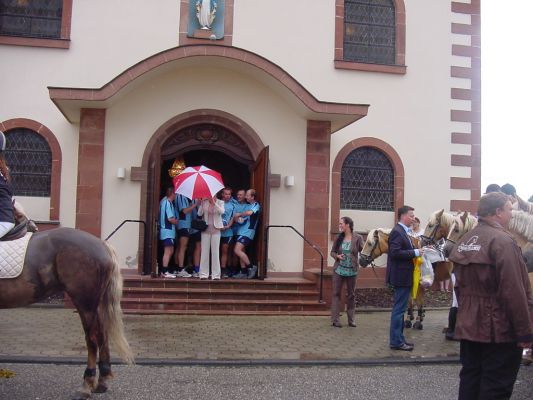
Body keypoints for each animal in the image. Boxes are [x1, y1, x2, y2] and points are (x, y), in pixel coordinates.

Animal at [0, 228, 133, 400]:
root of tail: (102, 244)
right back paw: (101, 382)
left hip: (85, 304)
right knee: (103, 335)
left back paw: (86, 385)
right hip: (96, 305)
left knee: (92, 339)